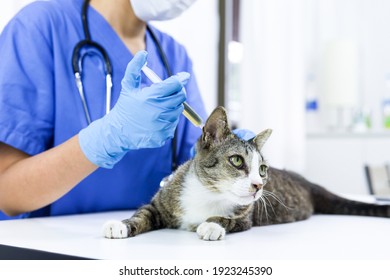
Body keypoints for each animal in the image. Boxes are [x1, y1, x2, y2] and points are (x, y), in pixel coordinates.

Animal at [101, 106, 390, 240]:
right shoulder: (162, 202)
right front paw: (122, 224)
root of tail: (308, 182)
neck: (207, 193)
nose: (258, 186)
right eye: (237, 160)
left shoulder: (245, 217)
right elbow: (143, 213)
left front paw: (211, 225)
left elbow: (226, 219)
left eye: (262, 169)